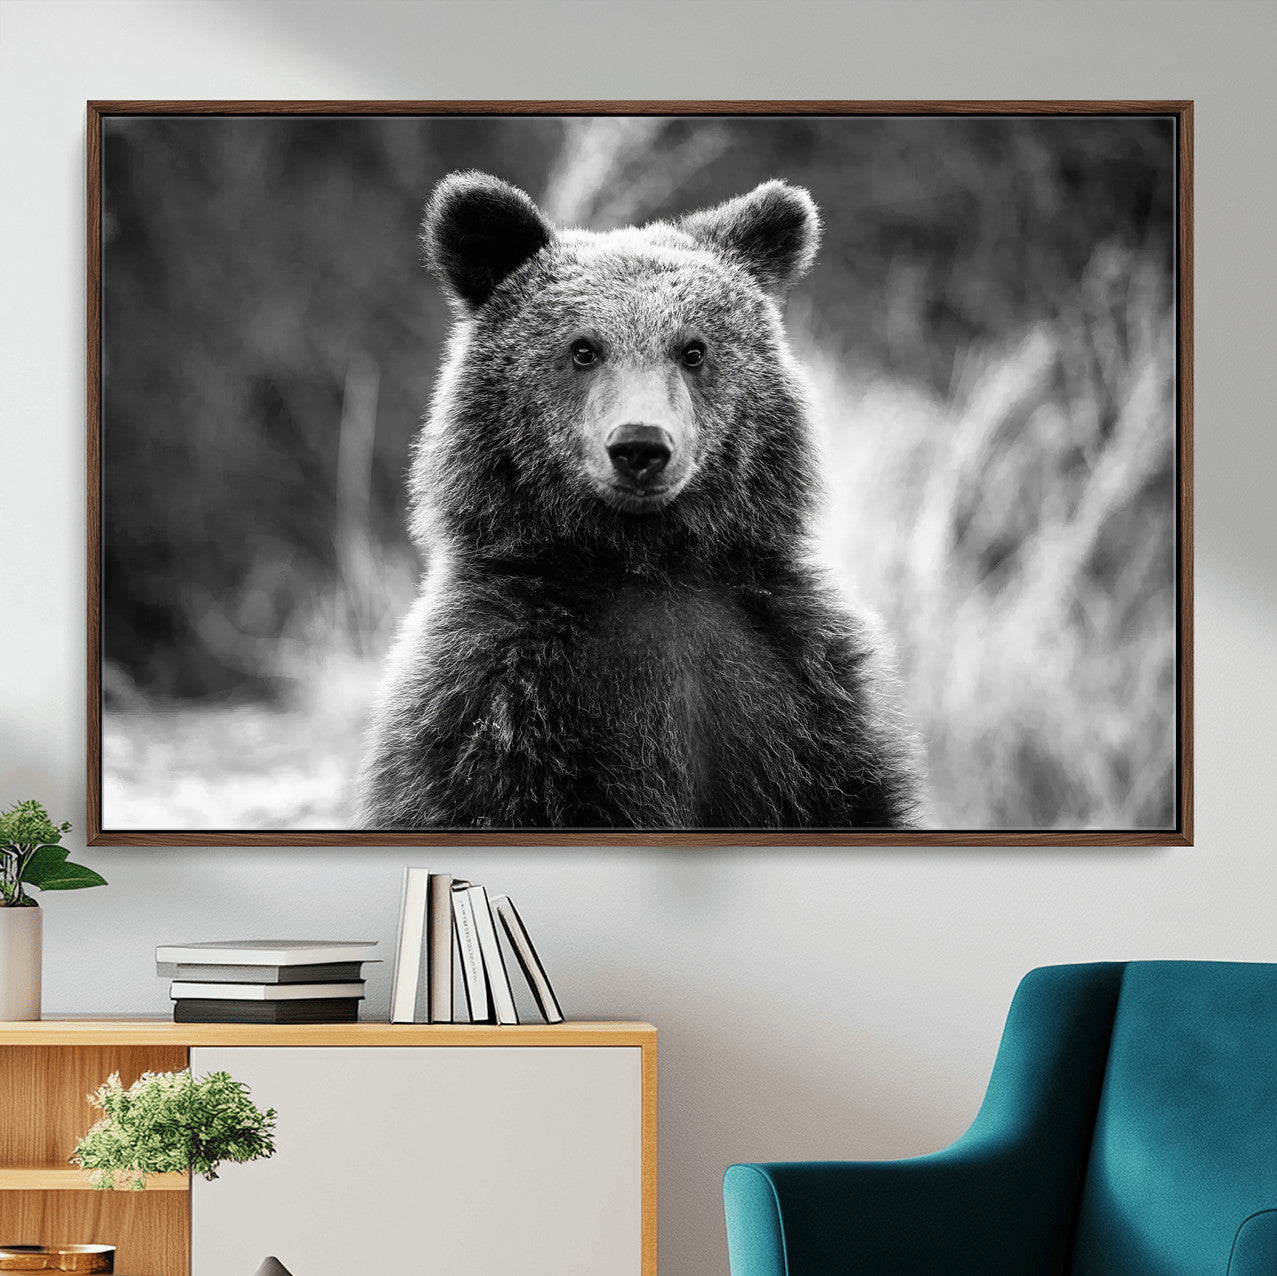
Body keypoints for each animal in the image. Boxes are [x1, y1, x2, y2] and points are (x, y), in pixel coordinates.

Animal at [356, 170, 921, 830]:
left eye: (693, 348)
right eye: (583, 348)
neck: (646, 563)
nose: (640, 445)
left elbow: (852, 793)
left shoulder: (802, 687)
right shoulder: (495, 700)